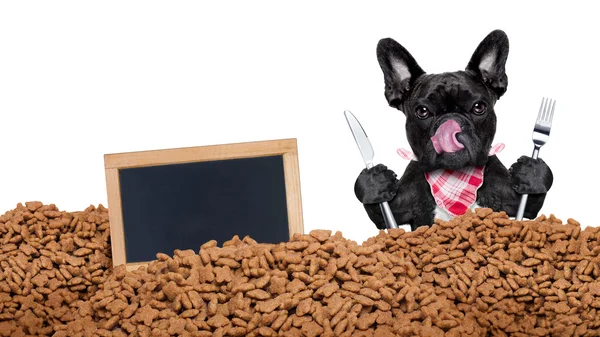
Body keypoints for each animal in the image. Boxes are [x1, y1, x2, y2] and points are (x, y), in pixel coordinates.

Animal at [354, 29, 556, 231]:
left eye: (479, 107)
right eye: (422, 111)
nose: (450, 122)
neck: (454, 179)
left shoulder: (517, 202)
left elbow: (532, 198)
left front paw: (531, 171)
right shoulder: (396, 209)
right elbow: (380, 209)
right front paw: (375, 181)